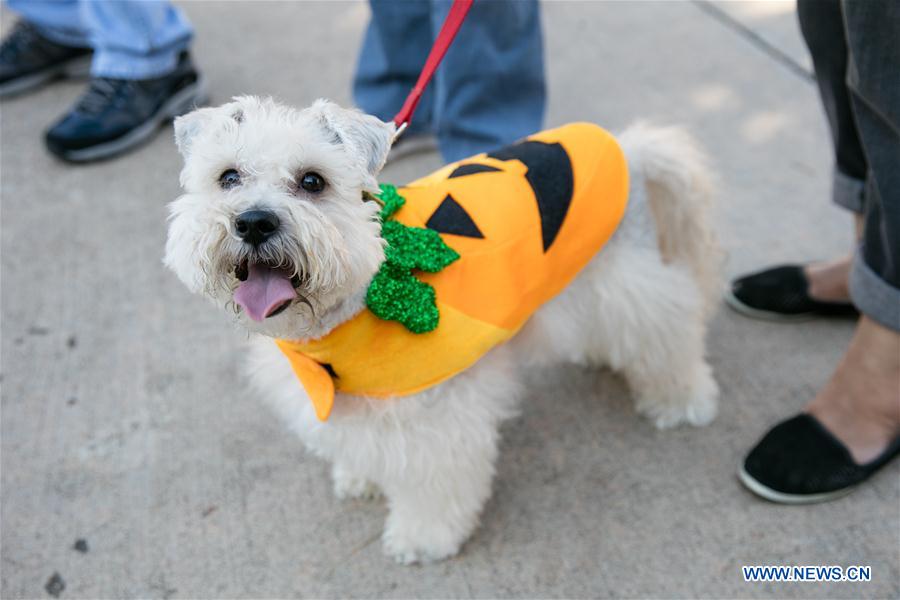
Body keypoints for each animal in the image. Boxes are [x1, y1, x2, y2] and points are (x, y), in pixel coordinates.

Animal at [165, 96, 720, 564]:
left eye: (312, 181)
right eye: (228, 176)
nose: (254, 222)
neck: (351, 306)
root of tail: (628, 147)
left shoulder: (438, 421)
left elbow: (435, 485)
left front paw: (422, 539)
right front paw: (360, 478)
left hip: (631, 284)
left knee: (671, 332)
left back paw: (681, 400)